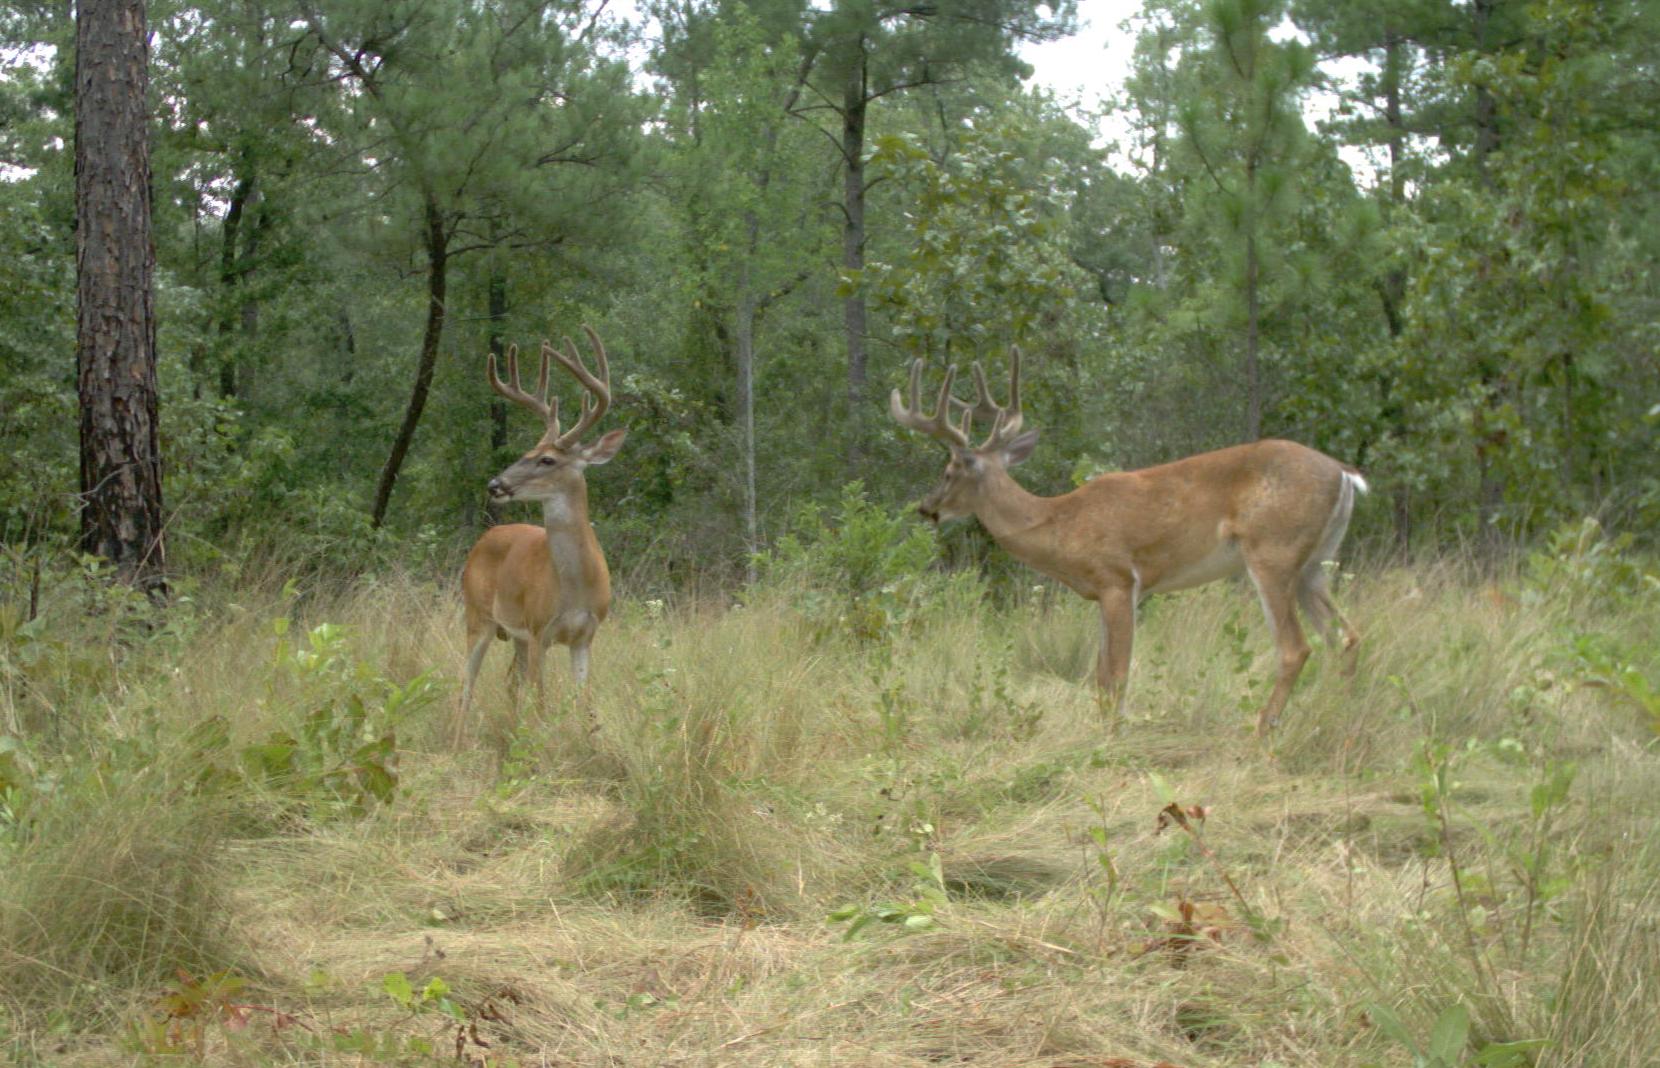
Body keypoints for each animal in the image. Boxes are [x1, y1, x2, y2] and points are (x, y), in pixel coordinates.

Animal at [458, 327, 624, 744]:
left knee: (509, 685)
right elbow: (544, 704)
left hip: (514, 636)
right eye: (526, 451)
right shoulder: (539, 630)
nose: (495, 484)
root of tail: (486, 537)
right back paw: (457, 741)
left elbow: (585, 704)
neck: (576, 585)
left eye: (547, 459)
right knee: (466, 685)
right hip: (478, 615)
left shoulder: (585, 635)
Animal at [889, 350, 1367, 734]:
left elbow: (1116, 673)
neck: (1058, 524)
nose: (926, 508)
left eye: (948, 471)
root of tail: (1344, 474)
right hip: (1314, 564)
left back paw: (1263, 728)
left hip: (1272, 551)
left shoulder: (1119, 578)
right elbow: (1100, 675)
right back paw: (1336, 717)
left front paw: (1113, 737)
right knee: (1345, 636)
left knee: (1295, 647)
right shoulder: (1104, 593)